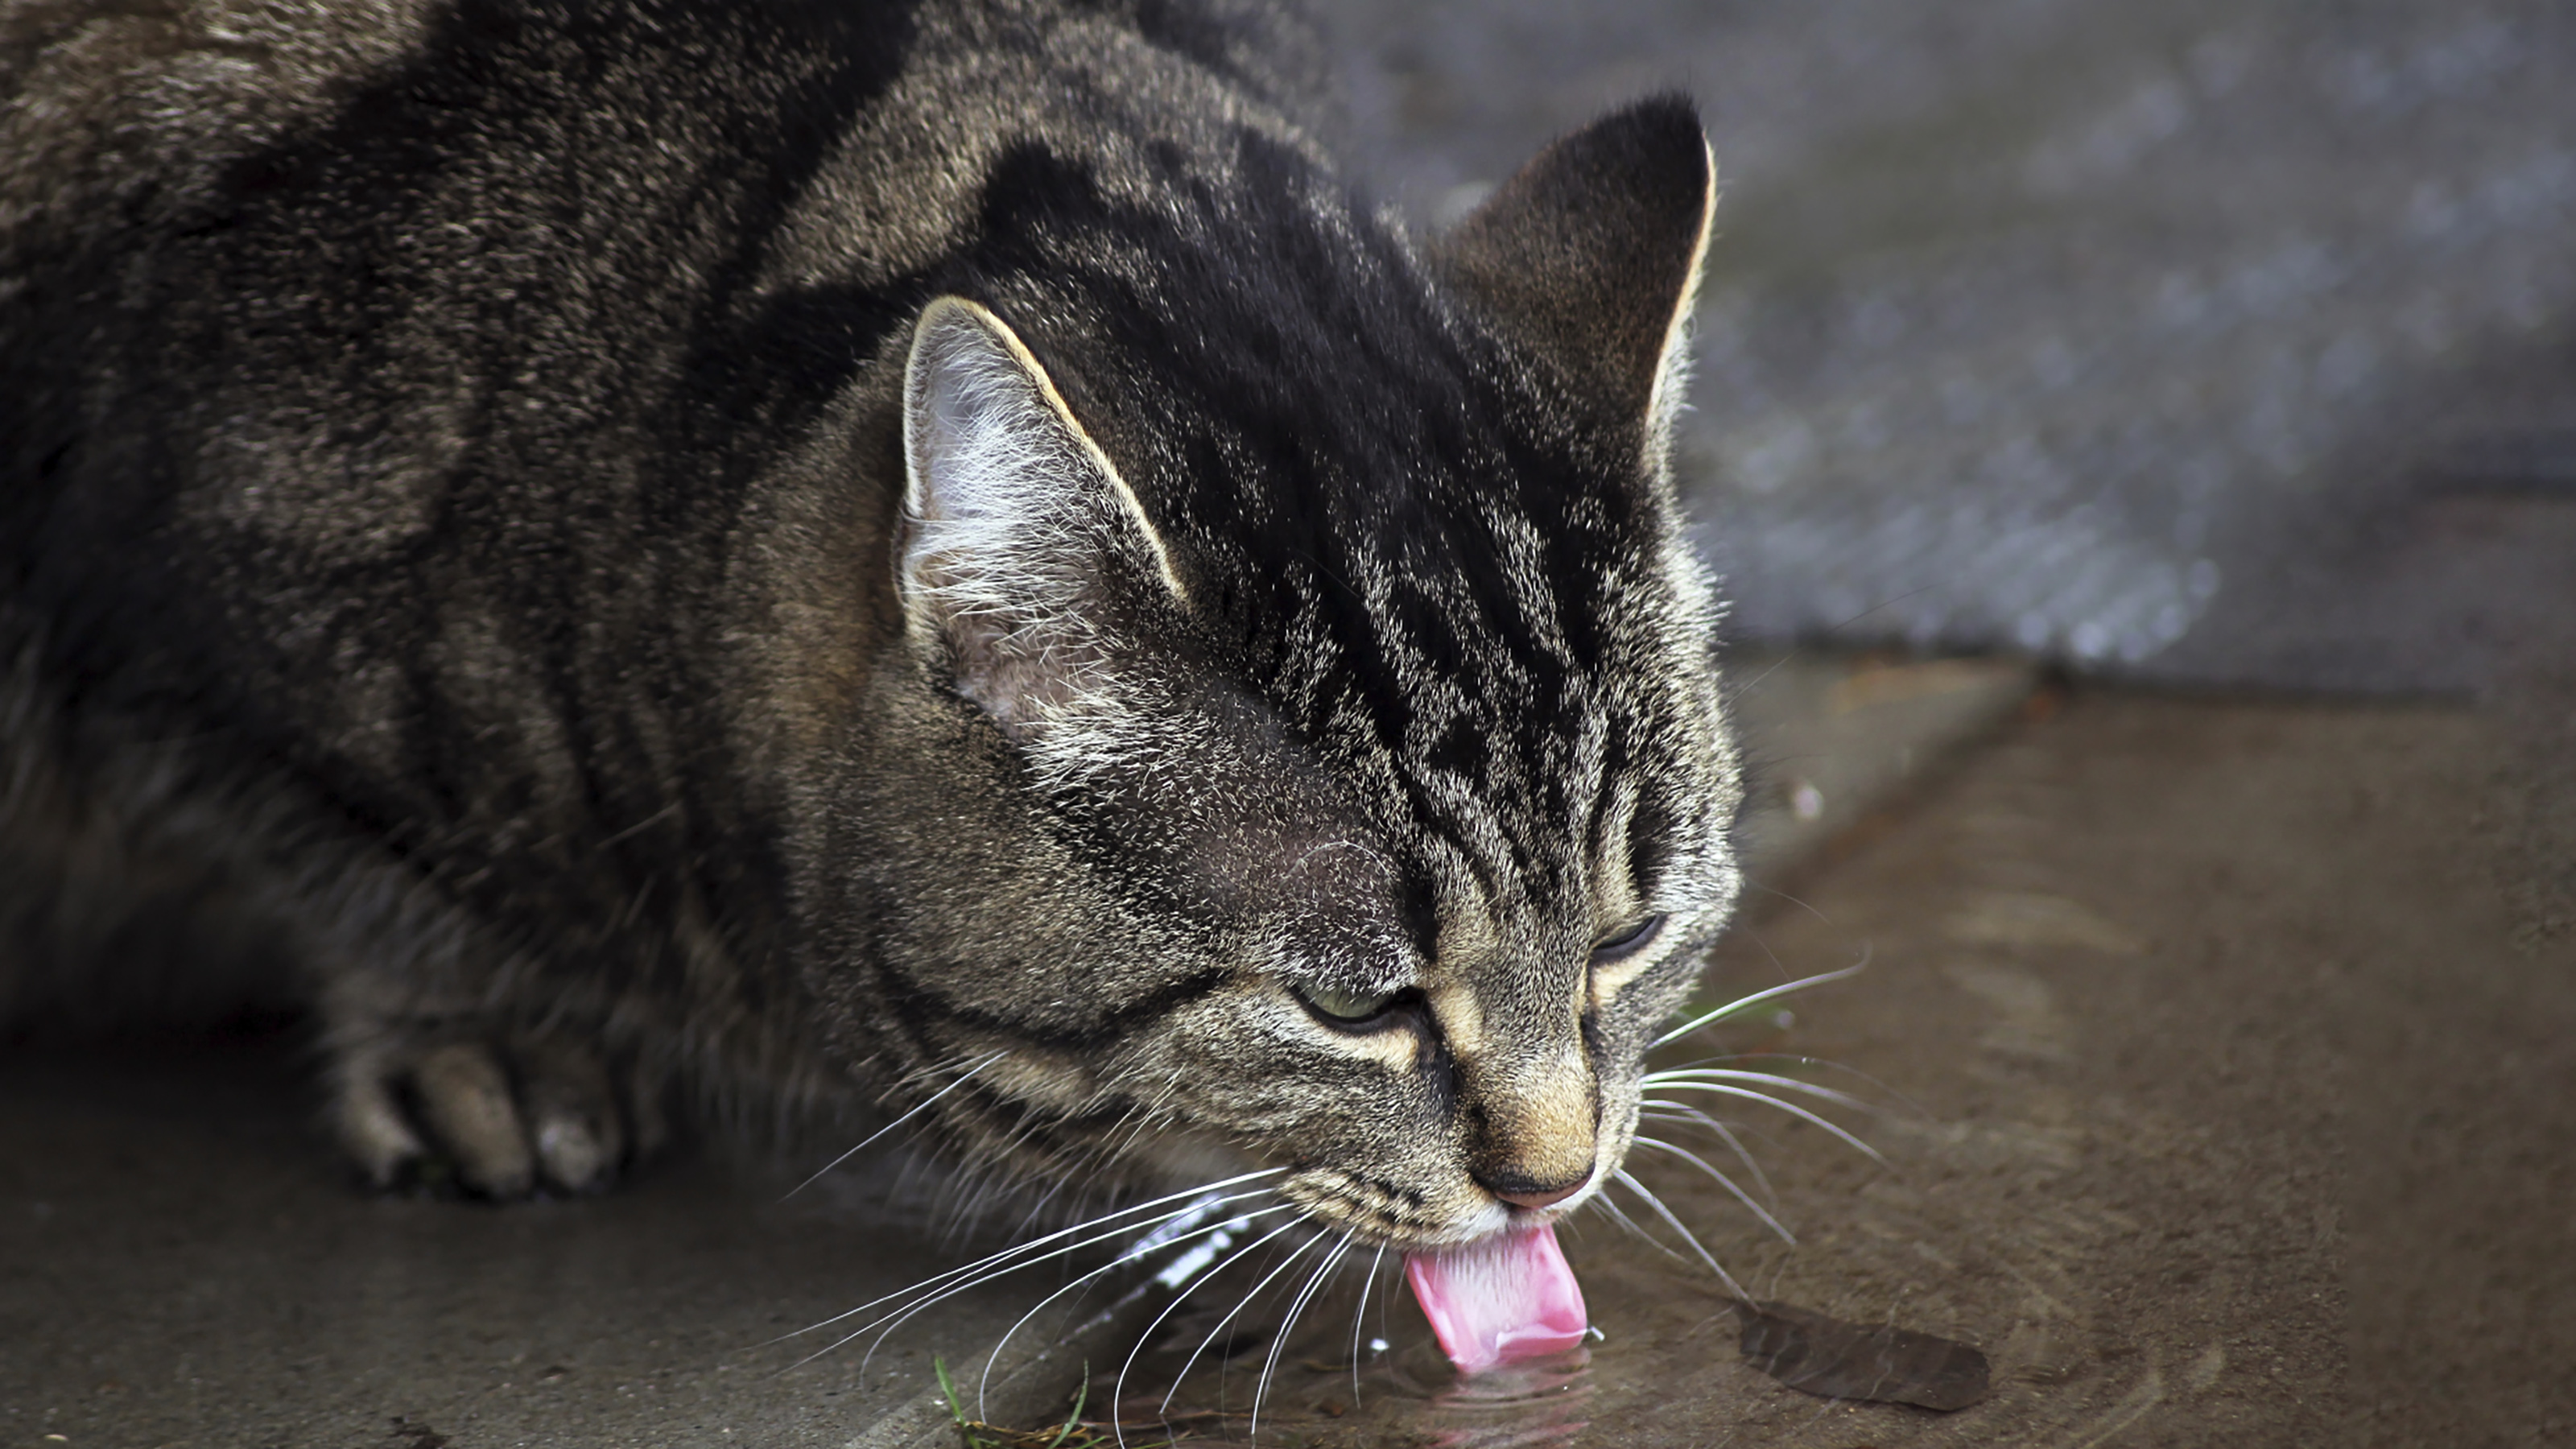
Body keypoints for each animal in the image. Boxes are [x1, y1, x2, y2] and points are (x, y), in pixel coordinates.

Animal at [0, 0, 1741, 1351]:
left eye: (1628, 937)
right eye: (1351, 1005)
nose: (1555, 1179)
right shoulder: (161, 610)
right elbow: (329, 859)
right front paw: (478, 1031)